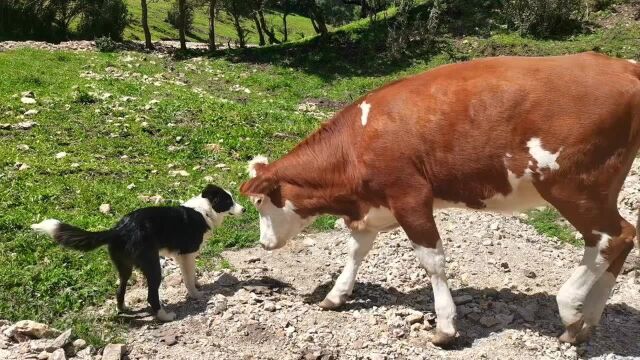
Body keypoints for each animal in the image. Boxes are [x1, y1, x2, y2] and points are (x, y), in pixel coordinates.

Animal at [30, 184, 246, 322]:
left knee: (119, 290)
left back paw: (123, 308)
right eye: (228, 201)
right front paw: (196, 293)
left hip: (124, 266)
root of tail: (119, 229)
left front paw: (197, 284)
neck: (205, 210)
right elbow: (188, 277)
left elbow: (190, 275)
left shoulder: (179, 255)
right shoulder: (187, 253)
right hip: (152, 265)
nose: (244, 209)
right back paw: (165, 316)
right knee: (151, 297)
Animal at [239, 52, 640, 348]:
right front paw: (336, 296)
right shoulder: (372, 207)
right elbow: (355, 253)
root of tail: (623, 65)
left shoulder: (409, 195)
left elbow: (432, 261)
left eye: (259, 204)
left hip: (572, 184)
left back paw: (571, 310)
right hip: (601, 188)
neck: (353, 148)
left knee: (610, 237)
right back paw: (587, 322)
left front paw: (445, 327)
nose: (263, 242)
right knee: (624, 237)